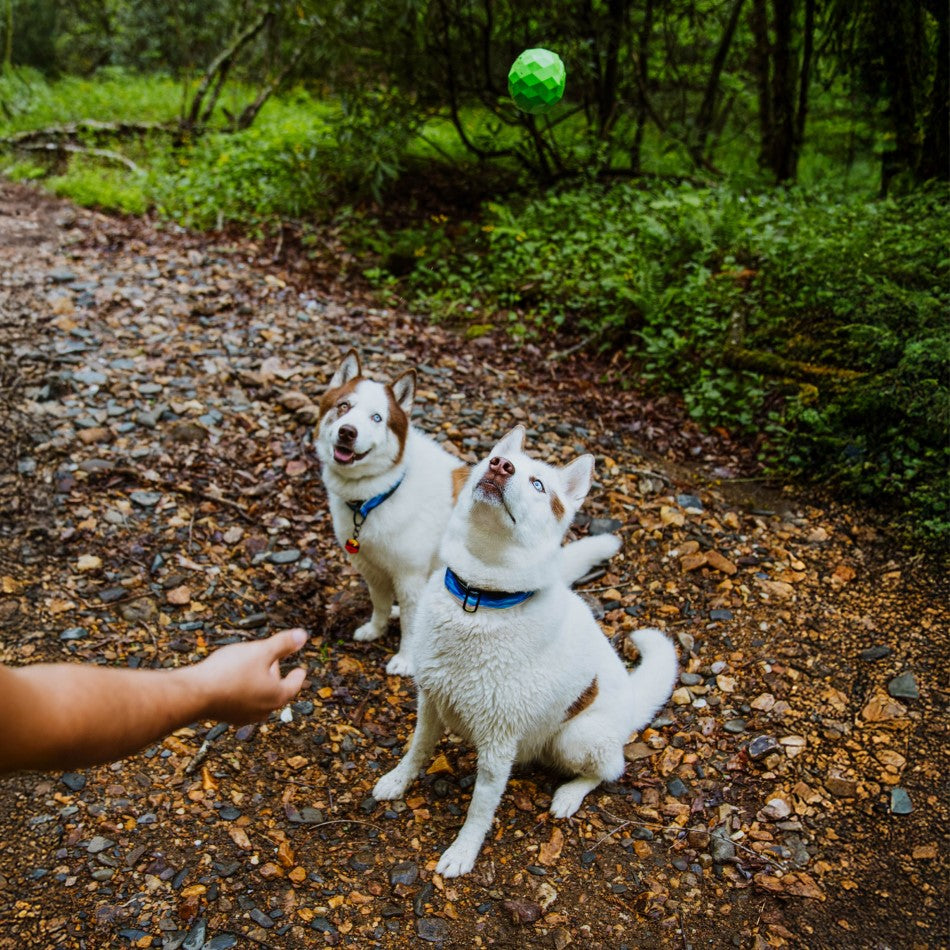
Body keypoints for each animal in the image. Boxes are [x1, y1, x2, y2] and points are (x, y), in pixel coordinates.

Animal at [316, 352, 468, 676]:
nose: (348, 432)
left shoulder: (410, 578)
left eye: (377, 418)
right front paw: (376, 629)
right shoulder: (371, 569)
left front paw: (406, 659)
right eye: (344, 406)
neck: (377, 496)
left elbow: (411, 626)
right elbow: (380, 603)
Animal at [372, 428, 676, 880]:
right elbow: (416, 751)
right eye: (492, 459)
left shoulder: (499, 745)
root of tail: (631, 708)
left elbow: (479, 811)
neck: (479, 598)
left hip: (577, 737)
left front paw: (463, 852)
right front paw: (398, 781)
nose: (501, 466)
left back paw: (569, 794)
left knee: (609, 770)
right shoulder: (430, 701)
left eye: (538, 485)